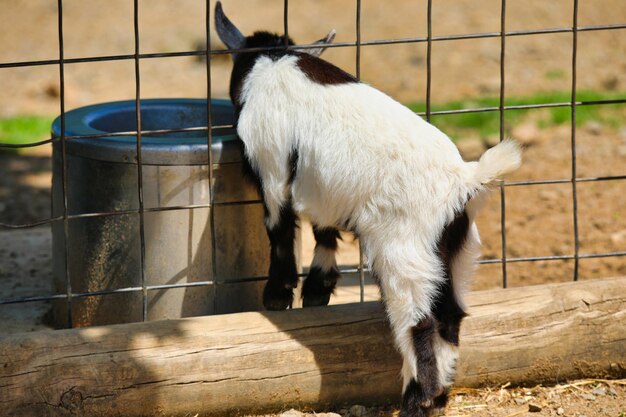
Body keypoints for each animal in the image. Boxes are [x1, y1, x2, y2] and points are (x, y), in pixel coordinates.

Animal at [214, 2, 520, 412]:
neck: (272, 62)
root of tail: (466, 180)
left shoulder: (272, 163)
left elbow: (279, 227)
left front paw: (278, 296)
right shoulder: (322, 183)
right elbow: (323, 227)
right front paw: (317, 291)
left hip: (404, 253)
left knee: (418, 323)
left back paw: (415, 403)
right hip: (458, 256)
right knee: (450, 317)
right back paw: (439, 398)